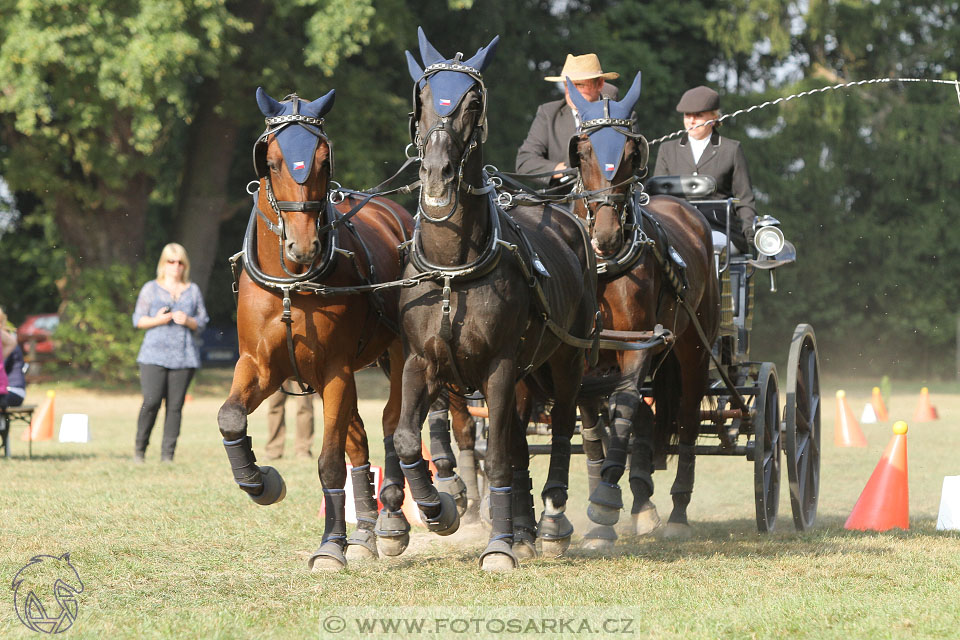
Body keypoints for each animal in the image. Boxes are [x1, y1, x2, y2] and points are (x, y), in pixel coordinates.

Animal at [219, 86, 414, 568]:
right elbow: (230, 416)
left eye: (324, 160)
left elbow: (328, 461)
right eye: (271, 162)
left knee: (391, 422)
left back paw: (392, 521)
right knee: (359, 438)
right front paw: (259, 480)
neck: (292, 282)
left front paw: (330, 546)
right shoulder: (261, 366)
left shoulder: (335, 371)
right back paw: (364, 531)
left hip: (397, 355)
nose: (303, 246)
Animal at [384, 30, 600, 568]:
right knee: (521, 442)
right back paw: (522, 528)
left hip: (566, 361)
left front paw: (499, 546)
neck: (452, 273)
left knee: (560, 429)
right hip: (525, 376)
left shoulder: (499, 366)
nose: (437, 174)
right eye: (421, 99)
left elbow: (500, 456)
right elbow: (406, 438)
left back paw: (549, 524)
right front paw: (439, 509)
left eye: (473, 102)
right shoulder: (421, 362)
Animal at [568, 75, 720, 544]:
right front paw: (604, 494)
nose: (607, 236)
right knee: (647, 420)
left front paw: (605, 503)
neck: (601, 268)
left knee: (686, 418)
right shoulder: (582, 351)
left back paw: (677, 511)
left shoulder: (636, 344)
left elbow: (625, 405)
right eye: (582, 151)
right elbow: (593, 421)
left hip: (693, 348)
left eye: (633, 153)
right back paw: (641, 499)